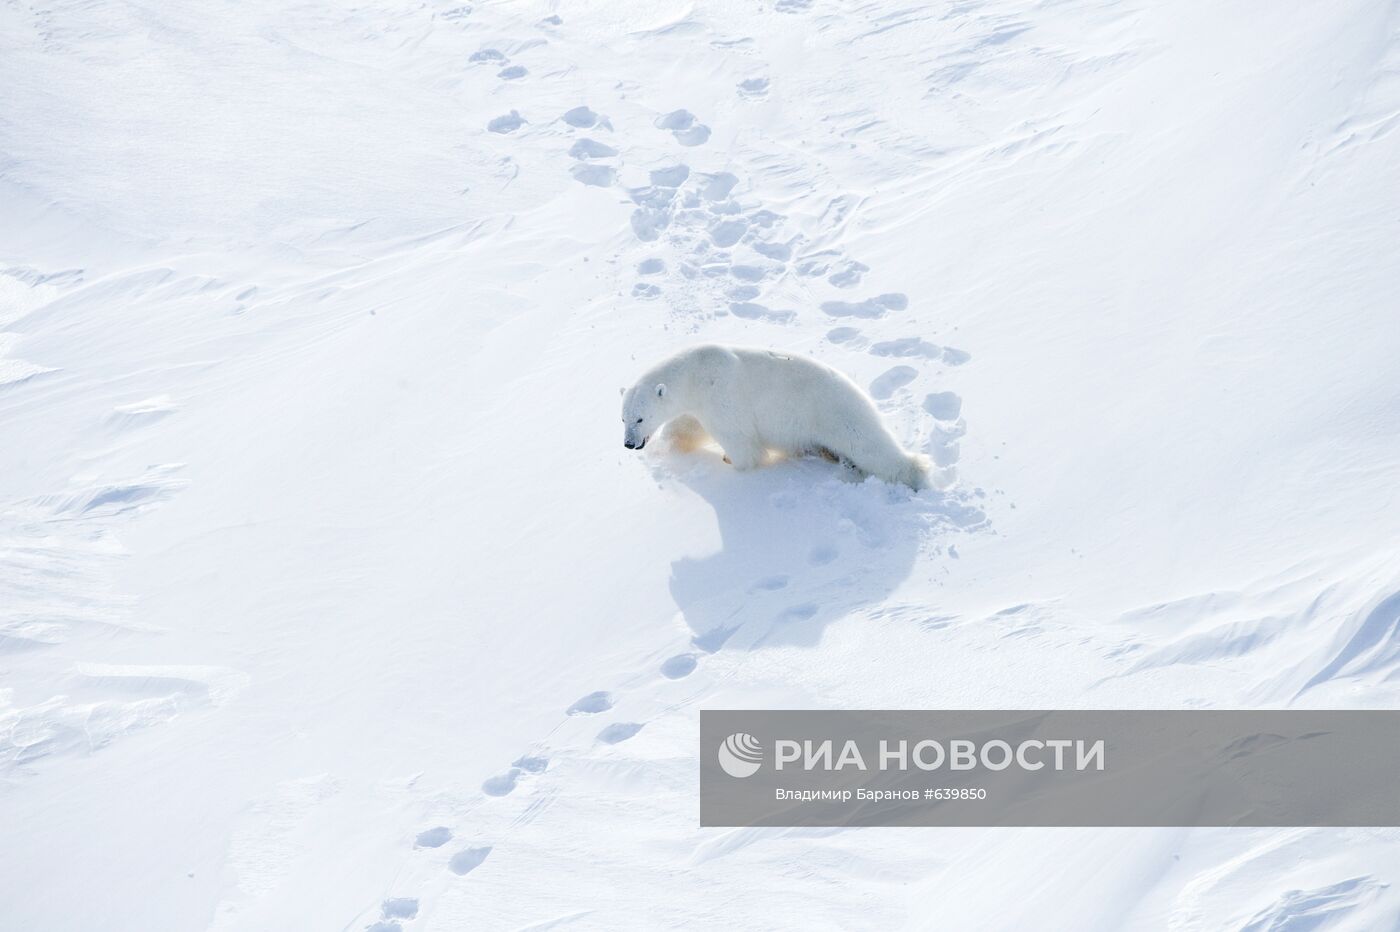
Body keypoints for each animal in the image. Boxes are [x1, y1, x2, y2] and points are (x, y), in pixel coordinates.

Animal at [621, 341, 929, 486]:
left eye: (640, 418)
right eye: (623, 418)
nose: (630, 443)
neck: (694, 373)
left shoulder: (721, 397)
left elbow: (742, 444)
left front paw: (731, 462)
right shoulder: (699, 404)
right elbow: (687, 426)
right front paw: (671, 446)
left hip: (836, 414)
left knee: (871, 447)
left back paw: (916, 472)